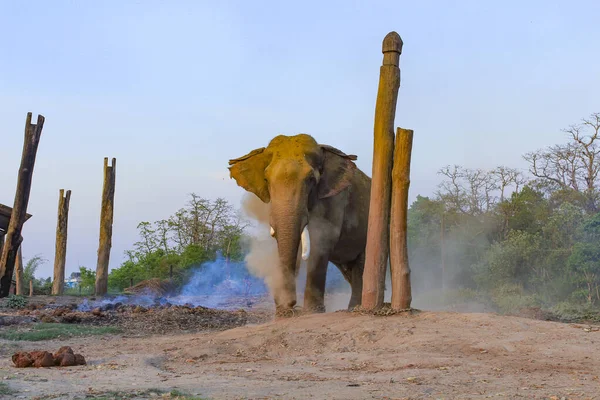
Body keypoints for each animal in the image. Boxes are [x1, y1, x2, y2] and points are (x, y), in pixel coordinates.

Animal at [229, 134, 370, 316]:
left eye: (311, 180)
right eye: (266, 179)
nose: (291, 304)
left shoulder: (335, 200)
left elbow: (321, 243)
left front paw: (312, 312)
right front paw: (283, 311)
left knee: (361, 265)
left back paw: (355, 308)